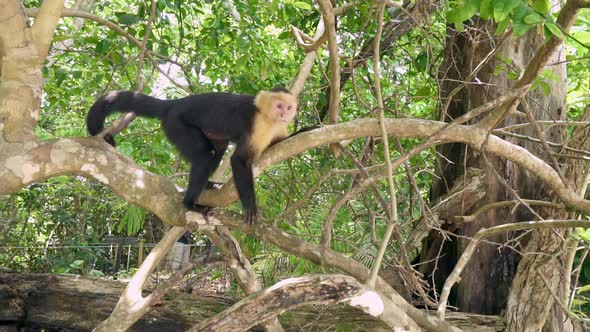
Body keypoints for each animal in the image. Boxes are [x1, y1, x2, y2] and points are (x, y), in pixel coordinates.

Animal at [85, 87, 298, 224]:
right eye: (279, 106)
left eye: (288, 108)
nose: (284, 115)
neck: (267, 117)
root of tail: (173, 104)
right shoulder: (257, 125)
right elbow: (239, 160)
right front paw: (251, 208)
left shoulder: (276, 128)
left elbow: (282, 143)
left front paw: (304, 131)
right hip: (176, 124)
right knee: (205, 156)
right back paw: (190, 204)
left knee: (217, 150)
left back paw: (208, 184)